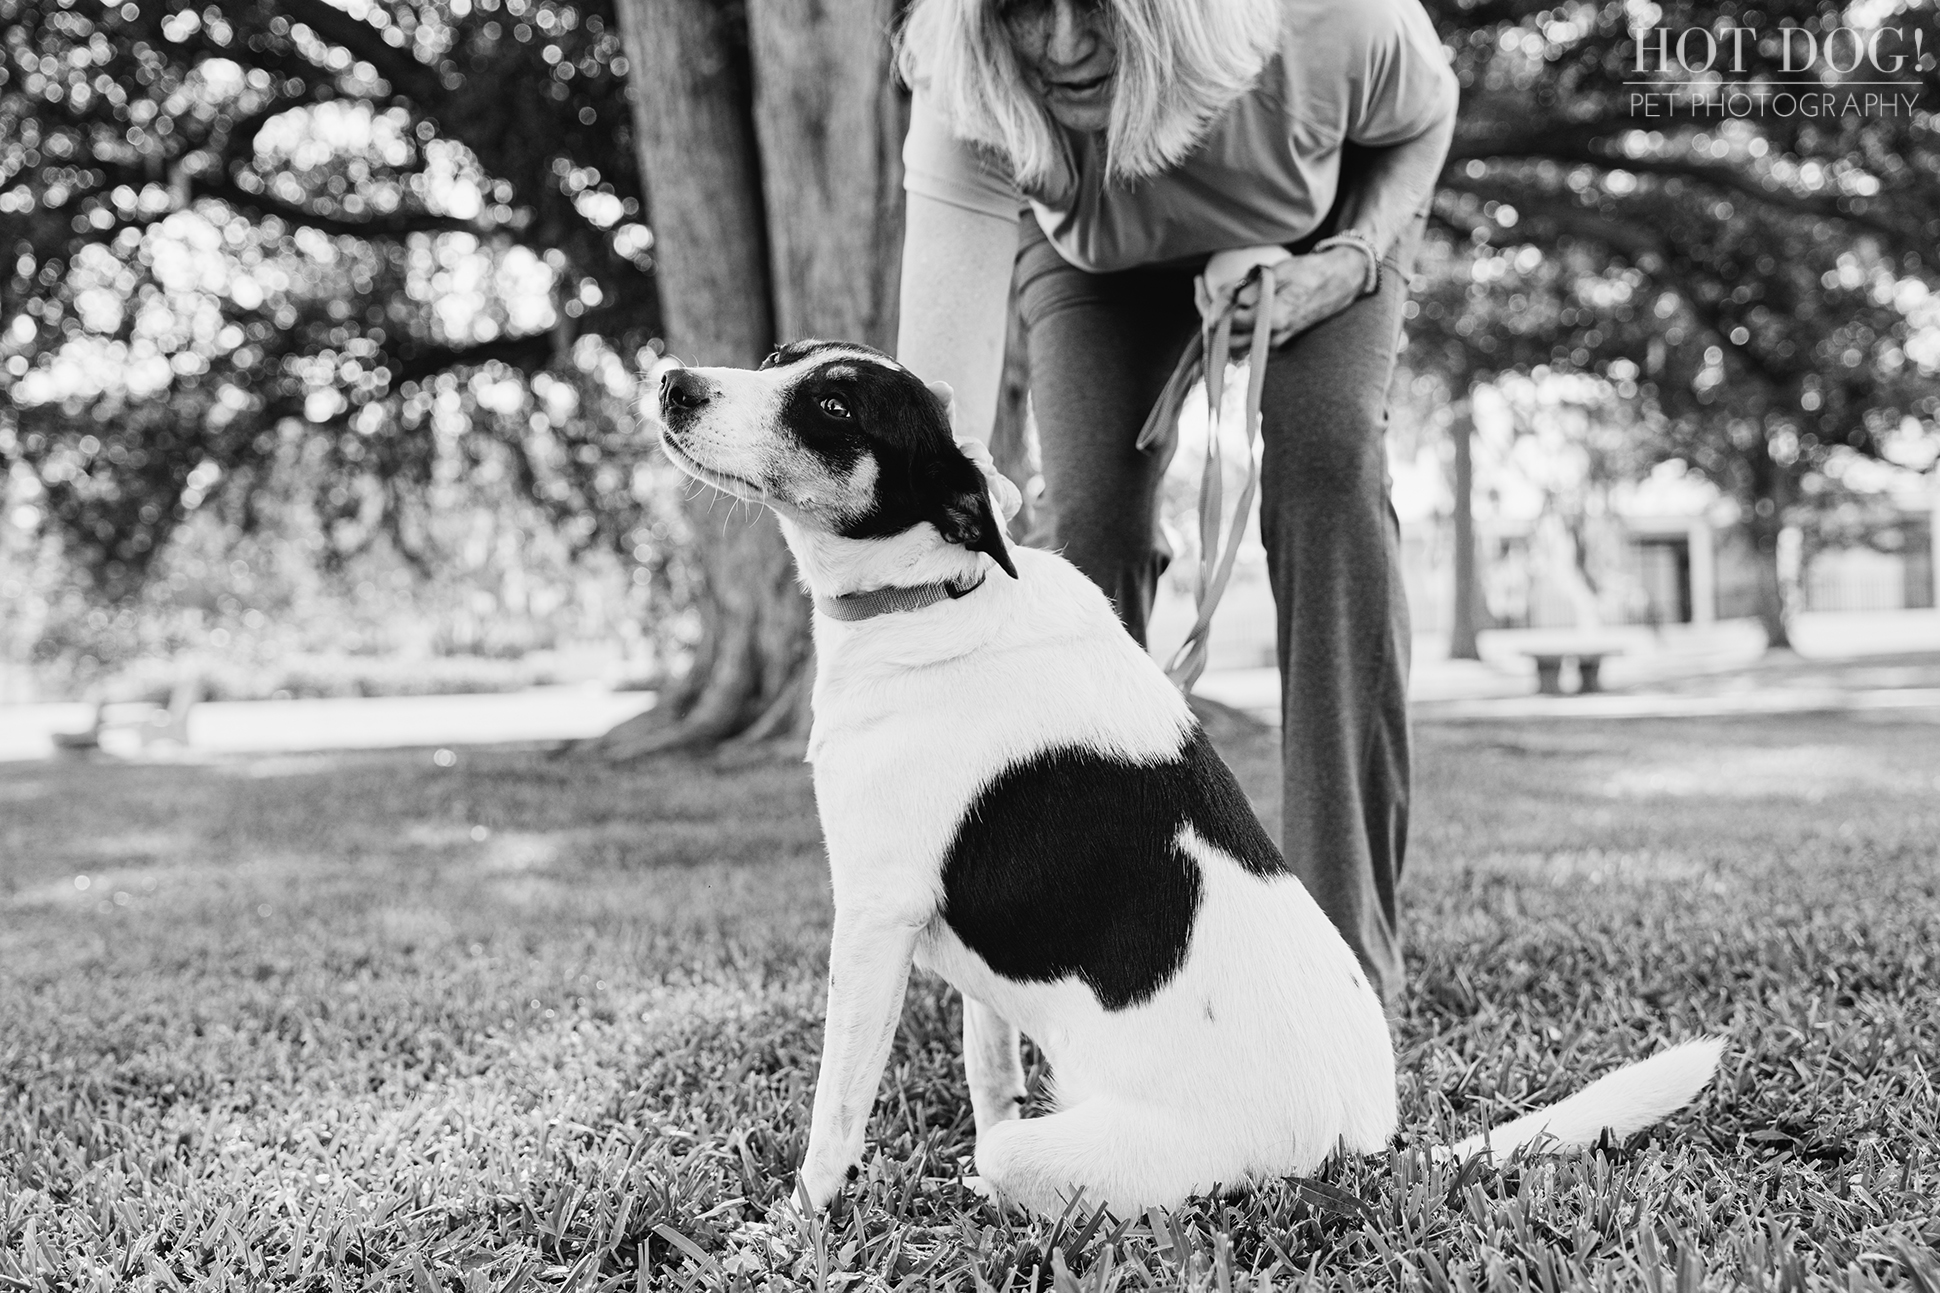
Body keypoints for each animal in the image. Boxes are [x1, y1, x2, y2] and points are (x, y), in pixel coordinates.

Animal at [655, 337, 1730, 1211]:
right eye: (776, 357)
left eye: (835, 407)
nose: (669, 380)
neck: (933, 593)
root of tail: (1365, 1150)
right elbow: (988, 1070)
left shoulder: (875, 917)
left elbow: (835, 1113)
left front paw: (798, 1222)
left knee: (1006, 1160)